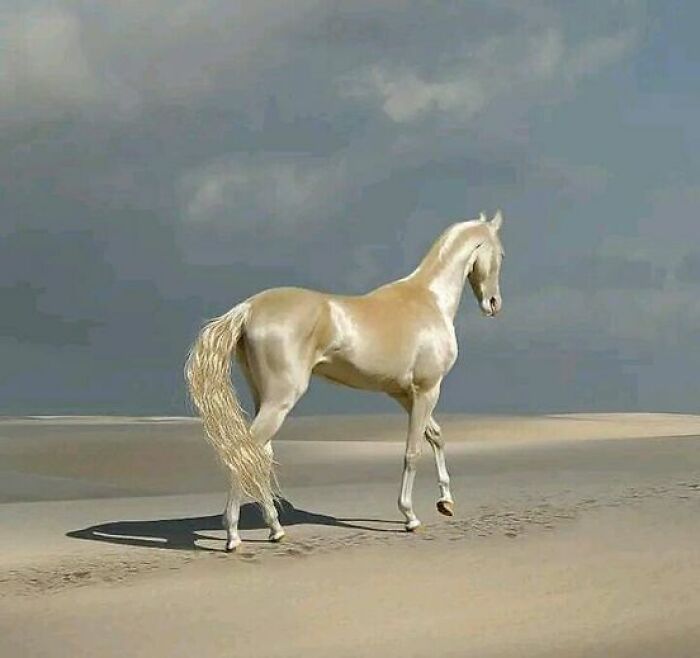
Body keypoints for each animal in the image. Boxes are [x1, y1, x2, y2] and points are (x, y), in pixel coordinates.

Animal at [185, 210, 505, 551]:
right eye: (500, 254)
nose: (493, 303)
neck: (429, 300)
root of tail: (248, 309)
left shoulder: (404, 394)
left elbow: (436, 436)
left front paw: (446, 502)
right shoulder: (427, 389)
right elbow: (412, 451)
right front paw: (410, 516)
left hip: (265, 399)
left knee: (260, 455)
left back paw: (275, 529)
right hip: (280, 400)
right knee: (245, 453)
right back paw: (233, 536)